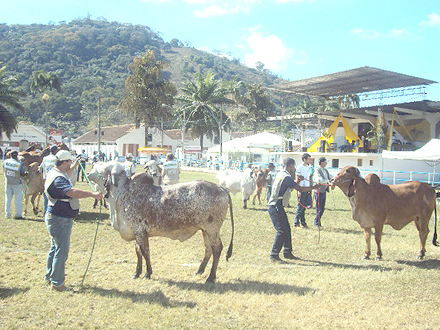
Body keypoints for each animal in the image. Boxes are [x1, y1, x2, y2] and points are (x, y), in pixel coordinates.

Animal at [87, 161, 235, 282]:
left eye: (102, 167)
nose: (88, 173)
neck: (120, 195)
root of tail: (222, 188)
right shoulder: (137, 232)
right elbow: (138, 251)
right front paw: (137, 273)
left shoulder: (140, 230)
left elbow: (145, 252)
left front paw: (147, 273)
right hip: (205, 230)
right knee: (208, 249)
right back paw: (199, 271)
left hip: (212, 229)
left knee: (217, 248)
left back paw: (211, 277)